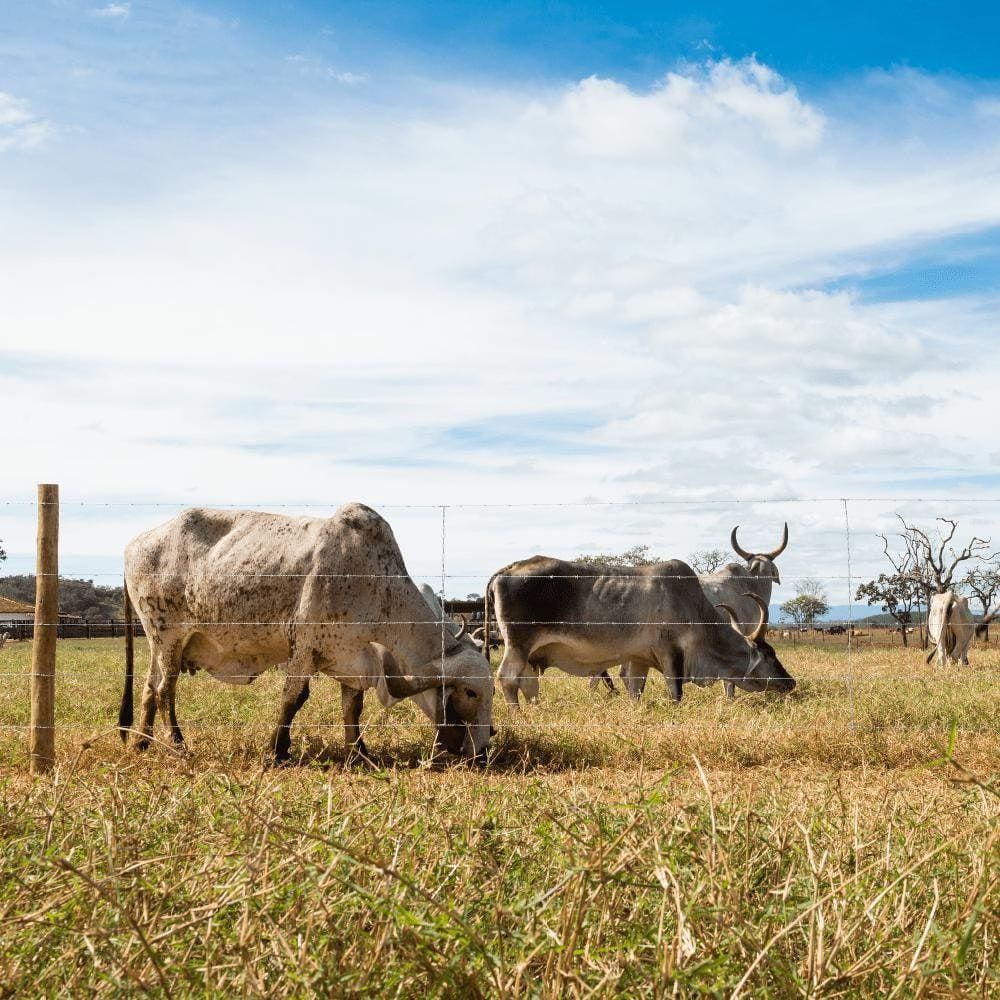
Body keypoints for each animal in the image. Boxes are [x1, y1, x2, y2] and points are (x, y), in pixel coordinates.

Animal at [119, 504, 494, 760]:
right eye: (471, 693)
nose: (484, 745)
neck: (376, 585)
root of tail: (135, 543)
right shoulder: (304, 648)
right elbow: (293, 698)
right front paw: (277, 750)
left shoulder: (351, 657)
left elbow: (352, 708)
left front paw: (359, 752)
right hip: (168, 636)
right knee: (166, 690)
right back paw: (178, 743)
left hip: (159, 644)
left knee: (149, 687)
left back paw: (142, 741)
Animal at [486, 556, 796, 712]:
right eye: (770, 656)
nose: (790, 683)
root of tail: (507, 569)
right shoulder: (670, 653)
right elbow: (676, 692)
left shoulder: (638, 658)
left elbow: (635, 688)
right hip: (517, 645)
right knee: (507, 678)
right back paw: (518, 714)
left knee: (528, 684)